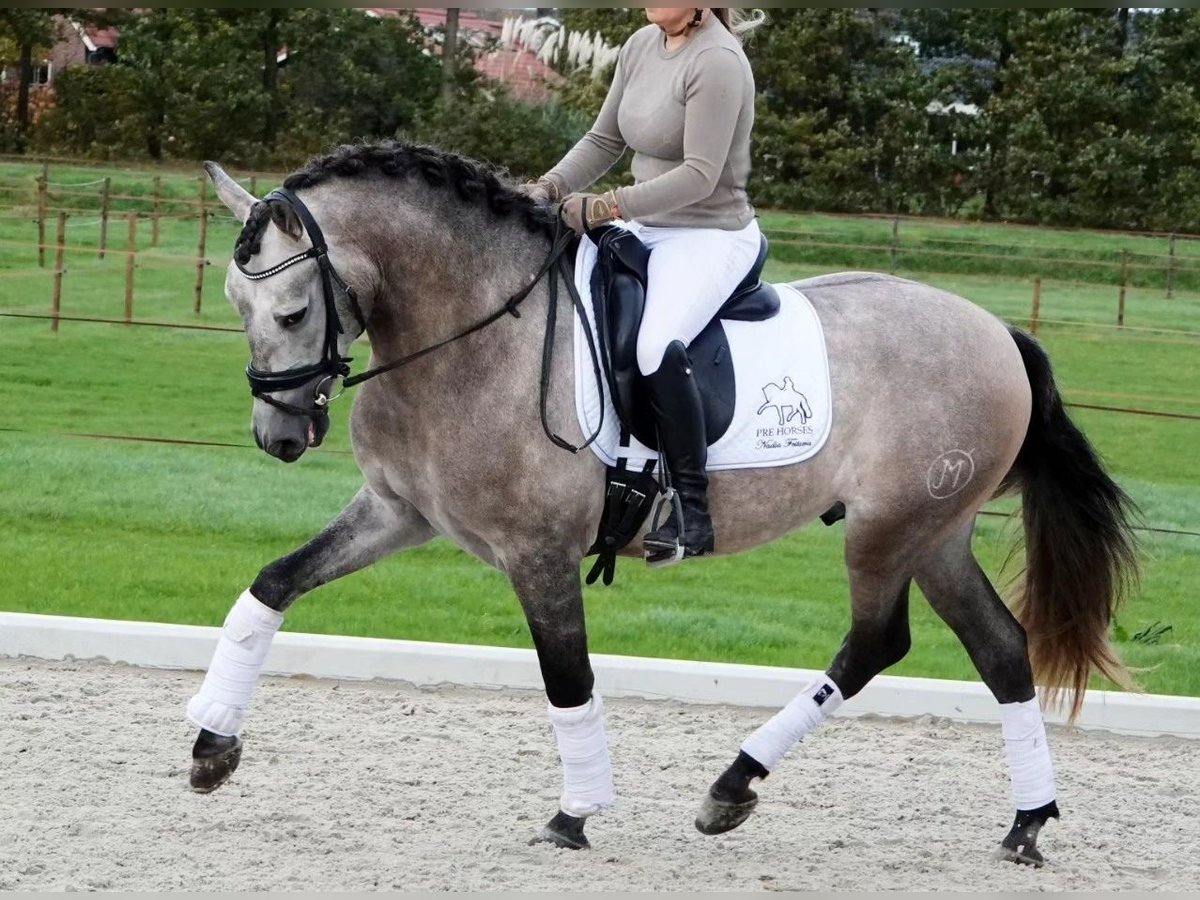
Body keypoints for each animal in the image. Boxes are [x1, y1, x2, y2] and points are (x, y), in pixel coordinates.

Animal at [191, 141, 1138, 864]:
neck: (470, 333)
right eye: (235, 302)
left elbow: (567, 678)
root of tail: (997, 331)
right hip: (936, 534)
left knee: (878, 640)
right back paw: (1024, 822)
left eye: (292, 309)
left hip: (889, 529)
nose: (278, 436)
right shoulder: (398, 512)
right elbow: (273, 583)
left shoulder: (538, 552)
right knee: (1000, 650)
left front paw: (575, 814)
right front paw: (211, 745)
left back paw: (732, 786)